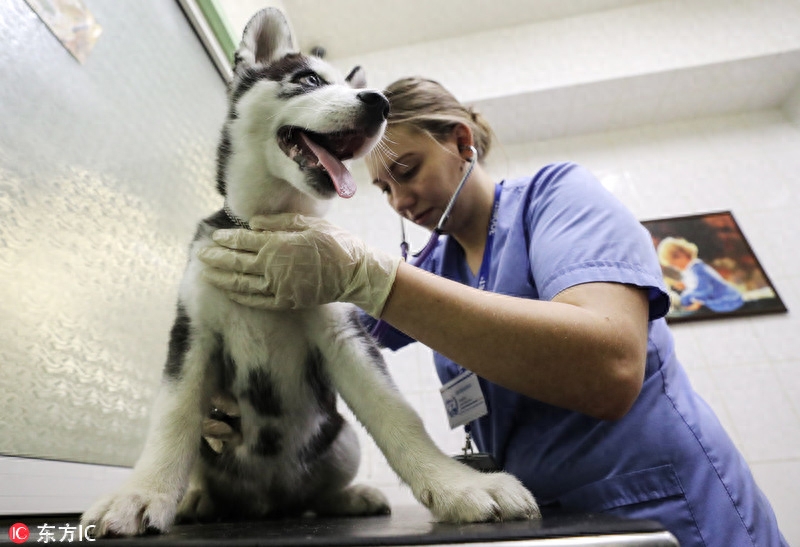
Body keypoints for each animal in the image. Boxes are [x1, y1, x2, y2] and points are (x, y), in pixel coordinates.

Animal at [81, 9, 536, 540]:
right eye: (309, 80)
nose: (379, 103)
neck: (270, 226)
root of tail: (268, 504)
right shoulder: (192, 331)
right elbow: (174, 416)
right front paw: (140, 494)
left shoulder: (344, 334)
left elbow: (398, 414)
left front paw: (457, 485)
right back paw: (198, 500)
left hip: (340, 439)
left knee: (317, 493)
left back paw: (348, 496)